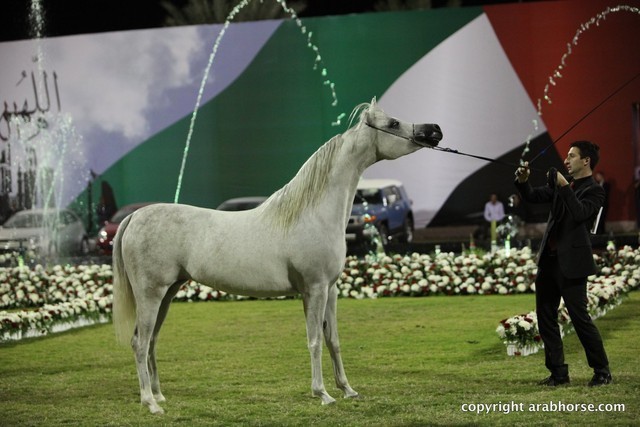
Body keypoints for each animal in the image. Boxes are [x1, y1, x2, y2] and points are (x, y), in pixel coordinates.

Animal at [112, 98, 442, 414]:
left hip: (167, 293)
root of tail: (134, 217)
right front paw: (322, 394)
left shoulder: (331, 290)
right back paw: (150, 403)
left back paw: (158, 395)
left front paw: (347, 390)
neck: (313, 213)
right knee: (140, 343)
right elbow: (314, 340)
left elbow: (333, 340)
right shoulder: (315, 289)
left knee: (151, 341)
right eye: (393, 123)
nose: (434, 130)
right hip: (151, 295)